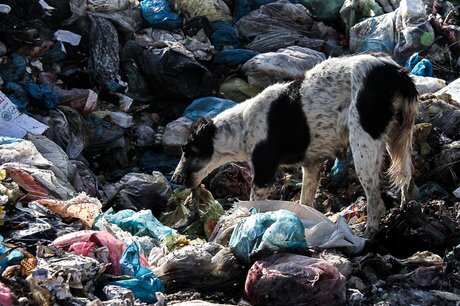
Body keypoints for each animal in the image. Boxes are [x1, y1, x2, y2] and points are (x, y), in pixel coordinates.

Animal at [172, 53, 420, 238]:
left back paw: (368, 233)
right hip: (398, 136)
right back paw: (406, 214)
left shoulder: (263, 176)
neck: (241, 126)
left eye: (187, 151)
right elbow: (305, 202)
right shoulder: (312, 166)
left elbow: (254, 206)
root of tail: (397, 74)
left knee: (375, 201)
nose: (175, 179)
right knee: (408, 181)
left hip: (364, 146)